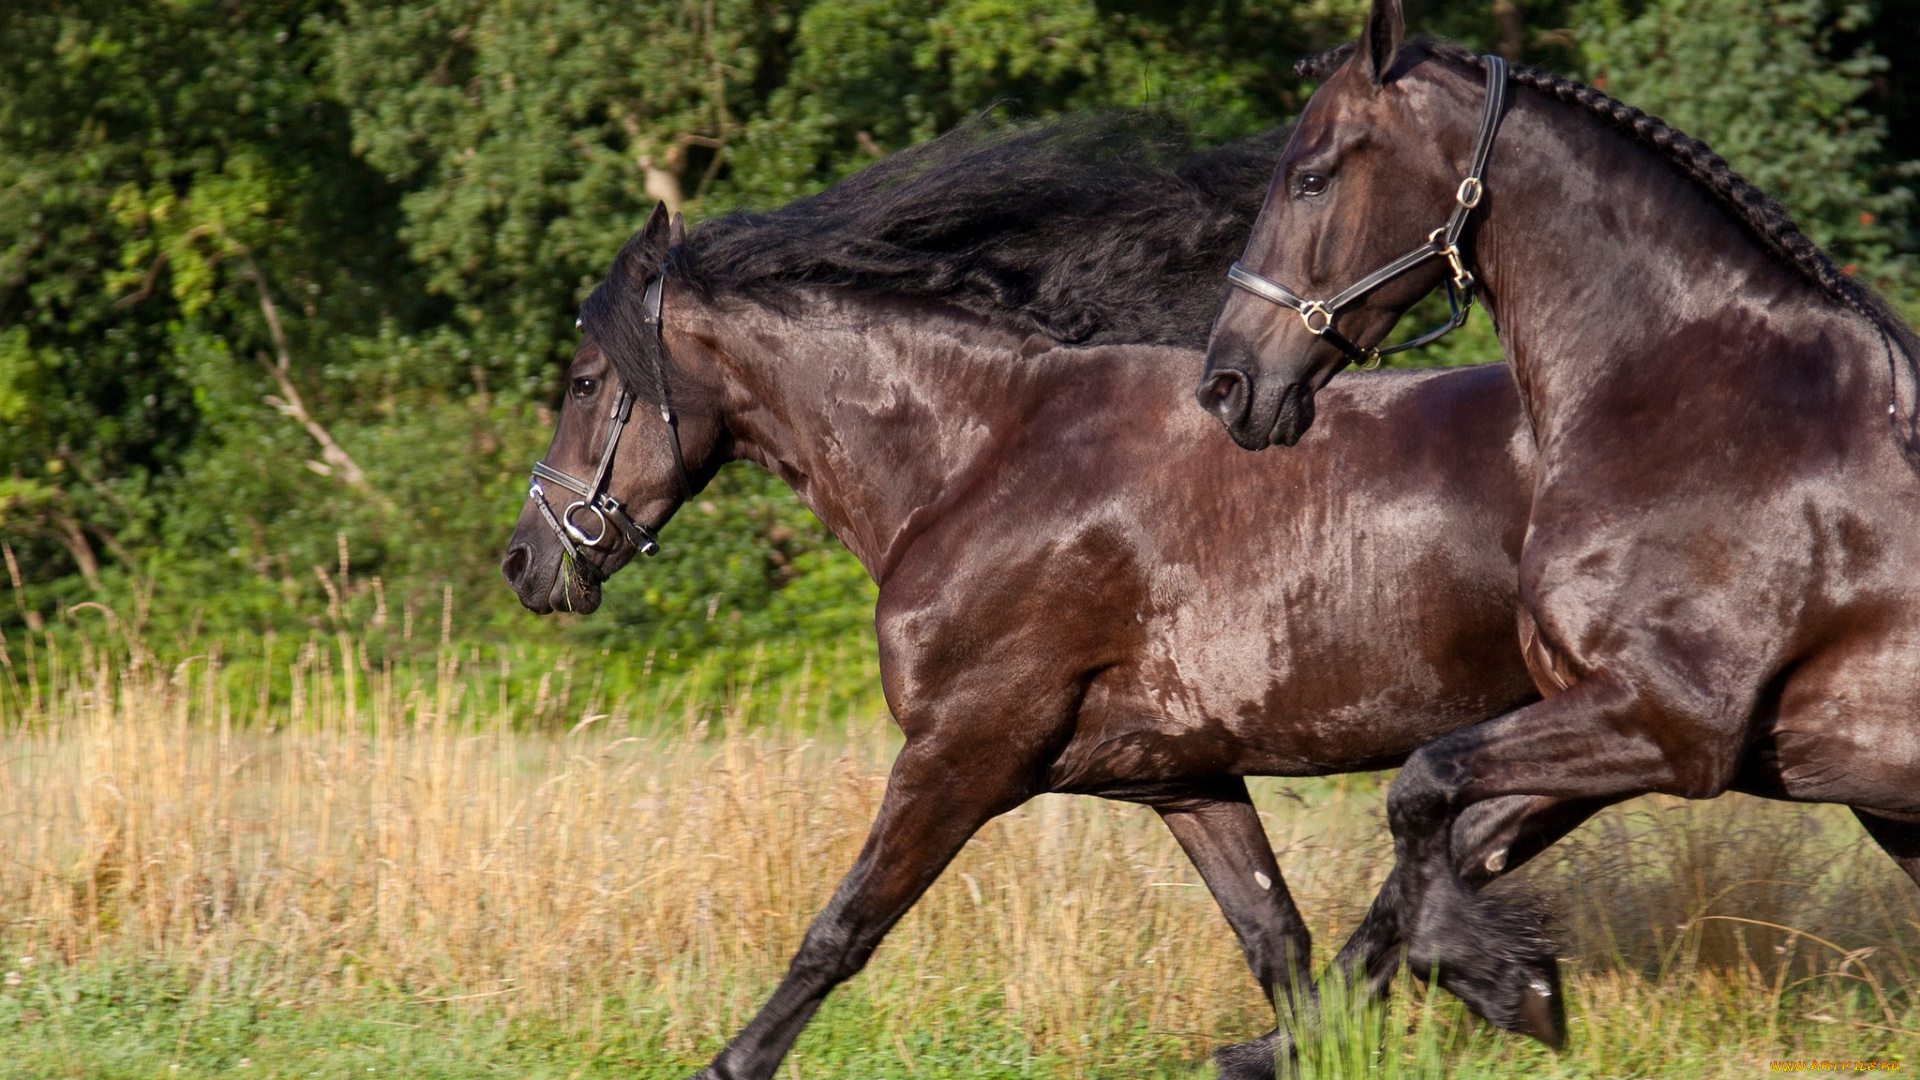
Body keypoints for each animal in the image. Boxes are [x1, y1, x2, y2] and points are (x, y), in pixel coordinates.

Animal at [503, 117, 1551, 1076]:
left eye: (586, 383)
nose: (524, 560)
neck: (978, 460)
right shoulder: (1182, 775)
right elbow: (1273, 937)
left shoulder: (961, 754)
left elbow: (842, 930)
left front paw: (731, 1062)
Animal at [1190, 0, 1920, 1045]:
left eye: (1312, 175)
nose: (1228, 384)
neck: (1705, 407)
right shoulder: (1602, 717)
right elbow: (1446, 840)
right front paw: (1303, 1042)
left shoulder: (1670, 720)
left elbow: (1419, 790)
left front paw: (1503, 979)